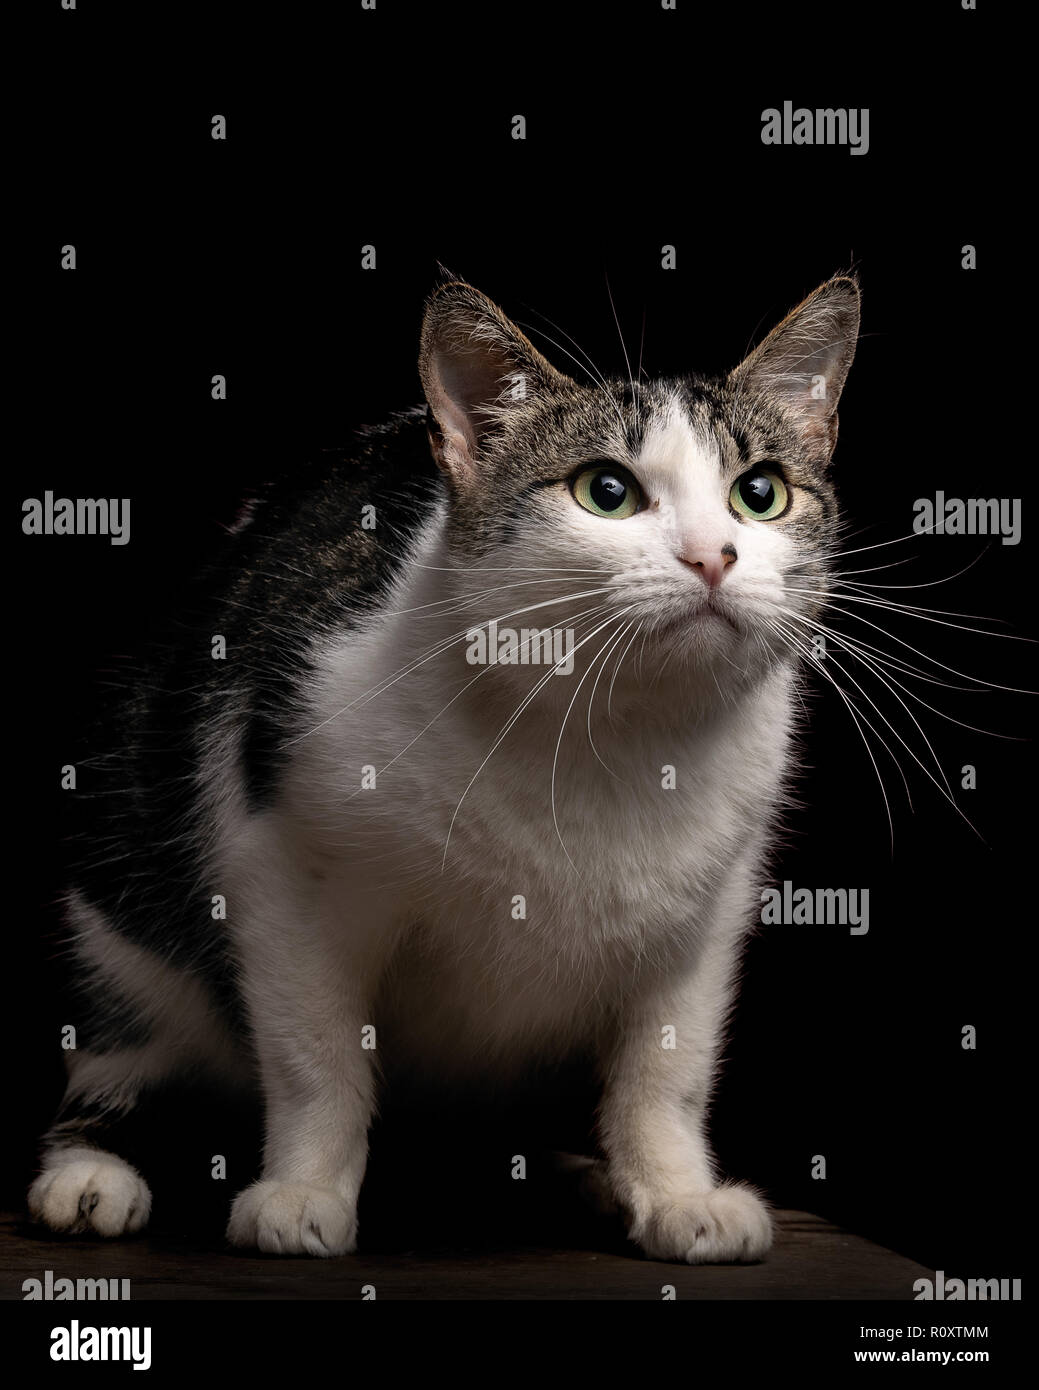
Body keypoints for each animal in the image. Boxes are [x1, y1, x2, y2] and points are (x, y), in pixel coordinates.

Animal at [30, 271, 862, 1262]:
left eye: (759, 493)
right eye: (607, 492)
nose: (712, 557)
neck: (611, 732)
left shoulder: (709, 912)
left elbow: (668, 1070)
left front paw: (672, 1189)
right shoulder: (278, 863)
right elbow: (315, 1053)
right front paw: (304, 1187)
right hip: (119, 900)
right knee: (115, 1045)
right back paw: (90, 1170)